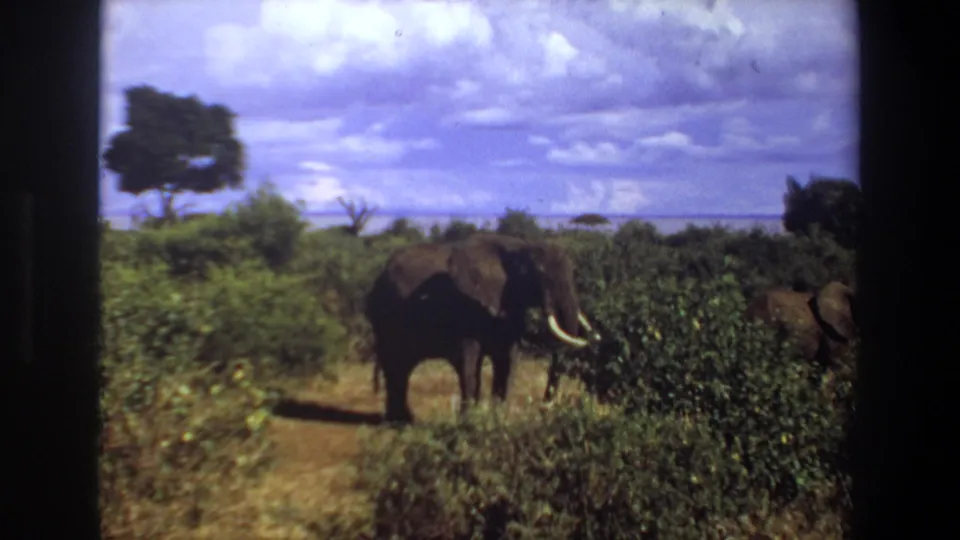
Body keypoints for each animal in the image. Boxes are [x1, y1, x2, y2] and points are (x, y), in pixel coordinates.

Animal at [364, 233, 600, 424]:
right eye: (540, 274)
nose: (544, 410)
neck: (520, 247)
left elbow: (507, 359)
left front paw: (498, 420)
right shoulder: (466, 306)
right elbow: (469, 361)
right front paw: (470, 421)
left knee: (402, 366)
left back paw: (402, 419)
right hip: (383, 317)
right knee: (395, 364)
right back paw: (398, 421)